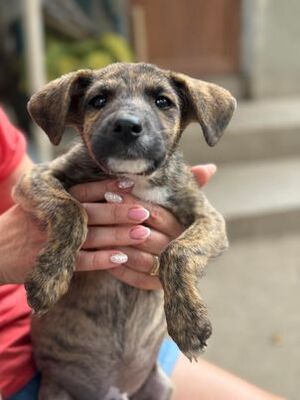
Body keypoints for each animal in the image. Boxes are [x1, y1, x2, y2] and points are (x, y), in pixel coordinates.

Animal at [14, 63, 236, 400]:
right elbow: (72, 209)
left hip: (158, 387)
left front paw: (188, 321)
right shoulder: (36, 178)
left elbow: (178, 251)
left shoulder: (208, 218)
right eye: (97, 100)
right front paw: (49, 278)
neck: (133, 179)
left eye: (162, 101)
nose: (127, 126)